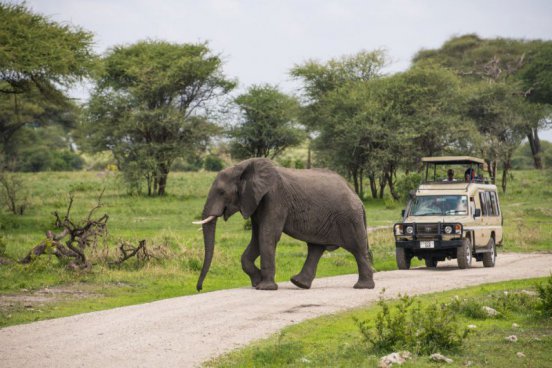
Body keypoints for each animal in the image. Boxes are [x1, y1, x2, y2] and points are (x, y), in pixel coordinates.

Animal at [194, 157, 376, 290]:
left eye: (222, 192)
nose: (199, 288)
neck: (242, 167)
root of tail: (358, 198)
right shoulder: (256, 201)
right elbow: (256, 238)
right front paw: (257, 282)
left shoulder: (275, 197)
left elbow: (267, 235)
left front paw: (264, 288)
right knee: (316, 248)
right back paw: (299, 283)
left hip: (349, 218)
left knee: (357, 249)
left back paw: (362, 287)